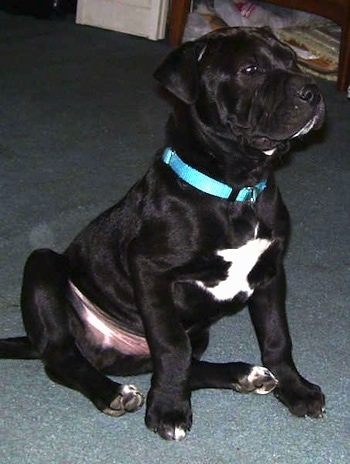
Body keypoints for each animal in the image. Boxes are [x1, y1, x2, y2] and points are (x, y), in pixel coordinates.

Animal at [0, 27, 326, 440]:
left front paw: (295, 388)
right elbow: (171, 346)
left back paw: (243, 374)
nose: (313, 91)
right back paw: (112, 392)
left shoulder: (270, 273)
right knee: (63, 357)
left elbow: (277, 337)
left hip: (197, 330)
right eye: (249, 70)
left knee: (182, 362)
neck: (238, 188)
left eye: (292, 60)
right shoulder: (151, 271)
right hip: (43, 265)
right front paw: (169, 409)